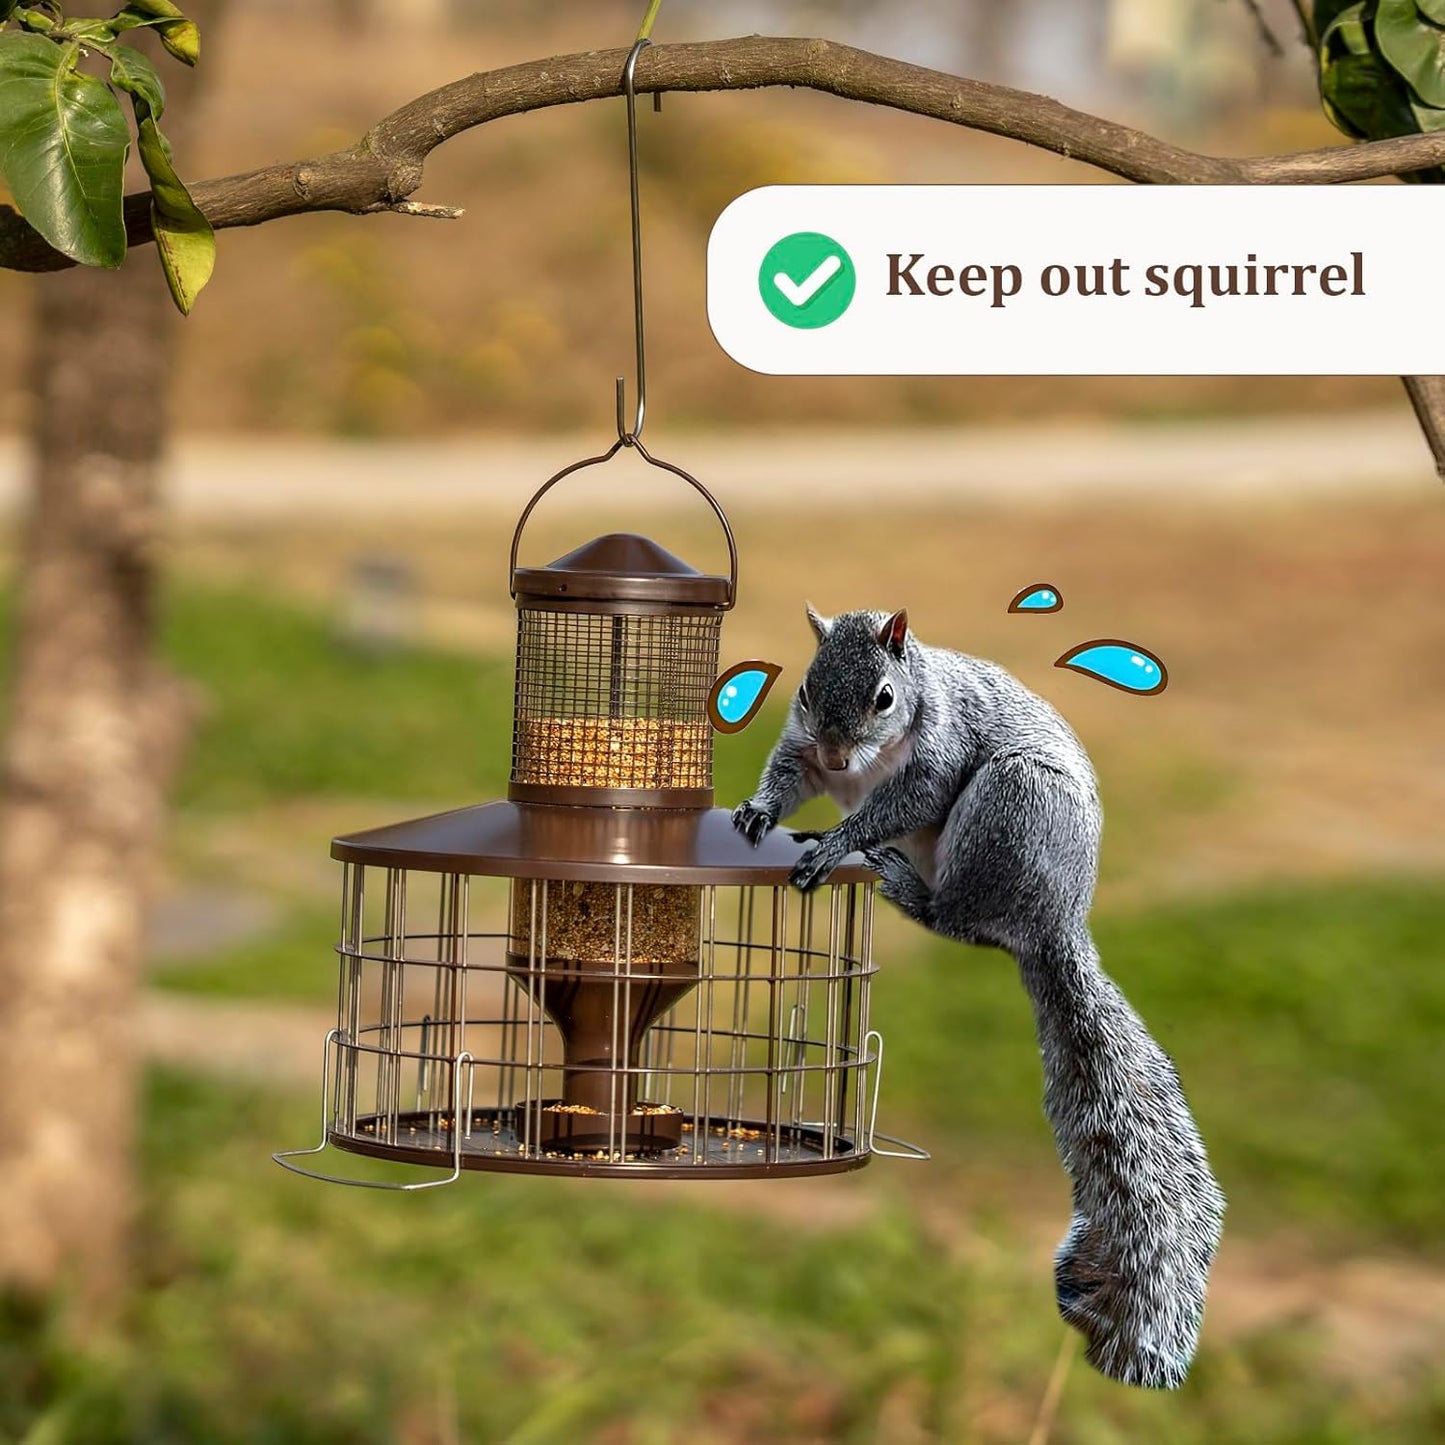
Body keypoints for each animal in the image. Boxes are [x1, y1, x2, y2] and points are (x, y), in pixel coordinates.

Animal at [732, 605, 1225, 1390]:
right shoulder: (802, 745)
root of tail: (1052, 922)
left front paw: (835, 841)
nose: (838, 761)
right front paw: (756, 808)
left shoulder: (941, 750)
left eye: (884, 698)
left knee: (957, 919)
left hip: (1009, 808)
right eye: (806, 688)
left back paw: (898, 881)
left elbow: (905, 800)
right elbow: (787, 771)